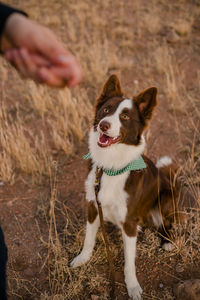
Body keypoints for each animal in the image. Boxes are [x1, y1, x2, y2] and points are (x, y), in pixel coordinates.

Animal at [70, 75, 183, 300]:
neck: (111, 167)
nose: (104, 125)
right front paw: (82, 258)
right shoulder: (93, 206)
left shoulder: (129, 221)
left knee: (166, 223)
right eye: (106, 110)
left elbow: (129, 262)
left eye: (124, 116)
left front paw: (132, 286)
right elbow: (88, 239)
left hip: (166, 197)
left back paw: (167, 241)